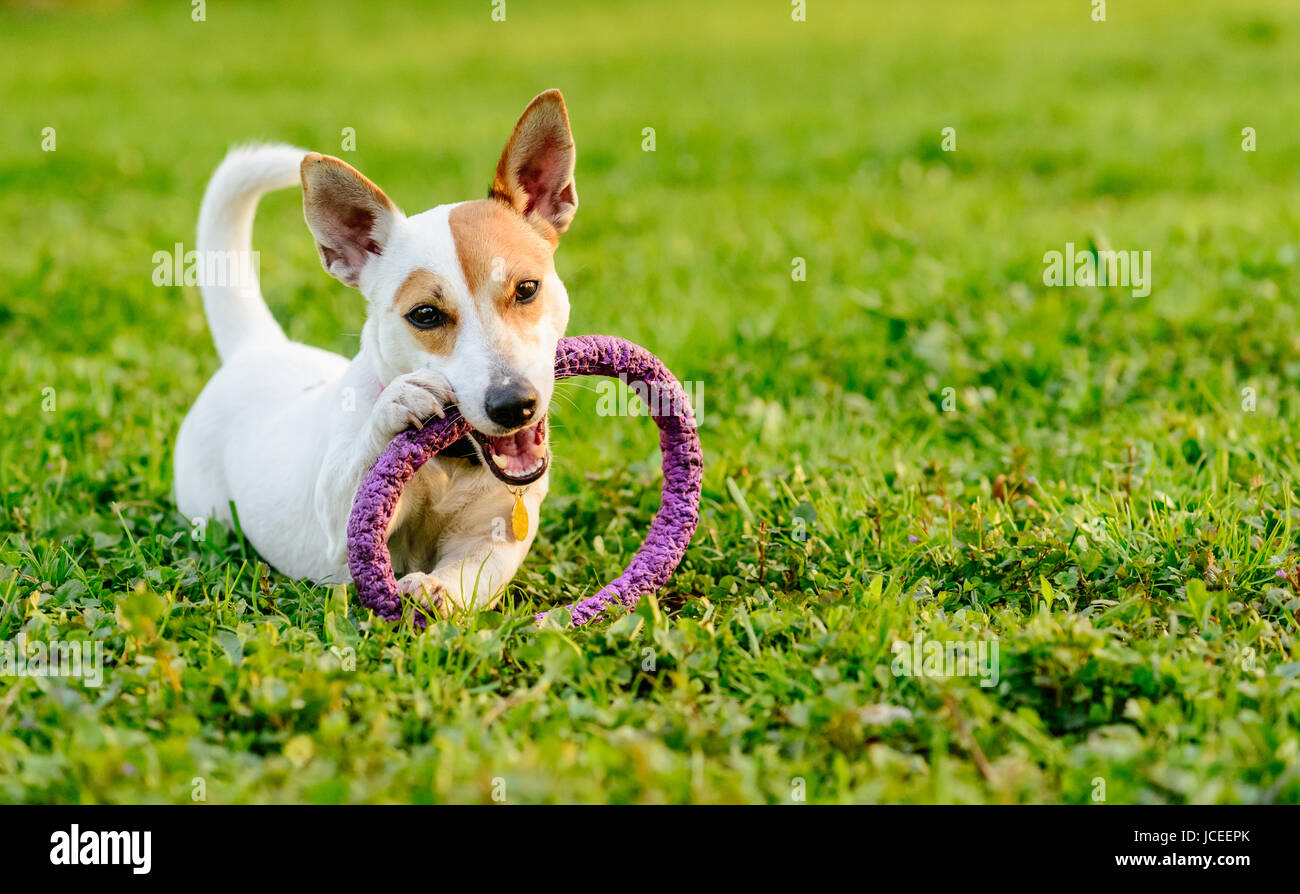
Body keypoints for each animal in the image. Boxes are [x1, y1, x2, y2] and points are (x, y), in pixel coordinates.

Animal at [172, 92, 579, 621]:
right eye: (425, 314)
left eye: (527, 288)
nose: (513, 405)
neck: (450, 466)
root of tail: (258, 348)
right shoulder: (337, 535)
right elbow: (352, 492)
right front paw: (396, 406)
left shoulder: (494, 534)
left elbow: (472, 572)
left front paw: (436, 589)